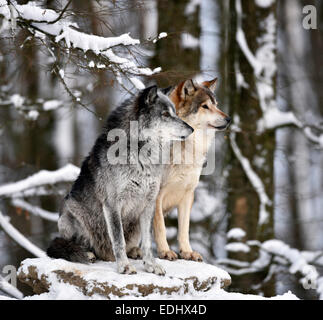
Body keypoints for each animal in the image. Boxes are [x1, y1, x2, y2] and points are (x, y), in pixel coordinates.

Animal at [46, 85, 194, 276]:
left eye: (174, 112)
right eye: (165, 114)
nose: (191, 129)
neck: (140, 153)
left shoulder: (149, 204)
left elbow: (147, 243)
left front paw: (150, 264)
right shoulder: (112, 205)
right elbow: (118, 240)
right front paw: (124, 266)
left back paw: (135, 252)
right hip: (71, 213)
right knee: (71, 244)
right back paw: (88, 253)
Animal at [154, 79, 232, 262]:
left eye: (216, 105)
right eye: (205, 106)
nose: (229, 119)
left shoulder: (188, 194)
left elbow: (184, 229)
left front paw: (187, 252)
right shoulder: (155, 195)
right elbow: (160, 226)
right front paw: (165, 251)